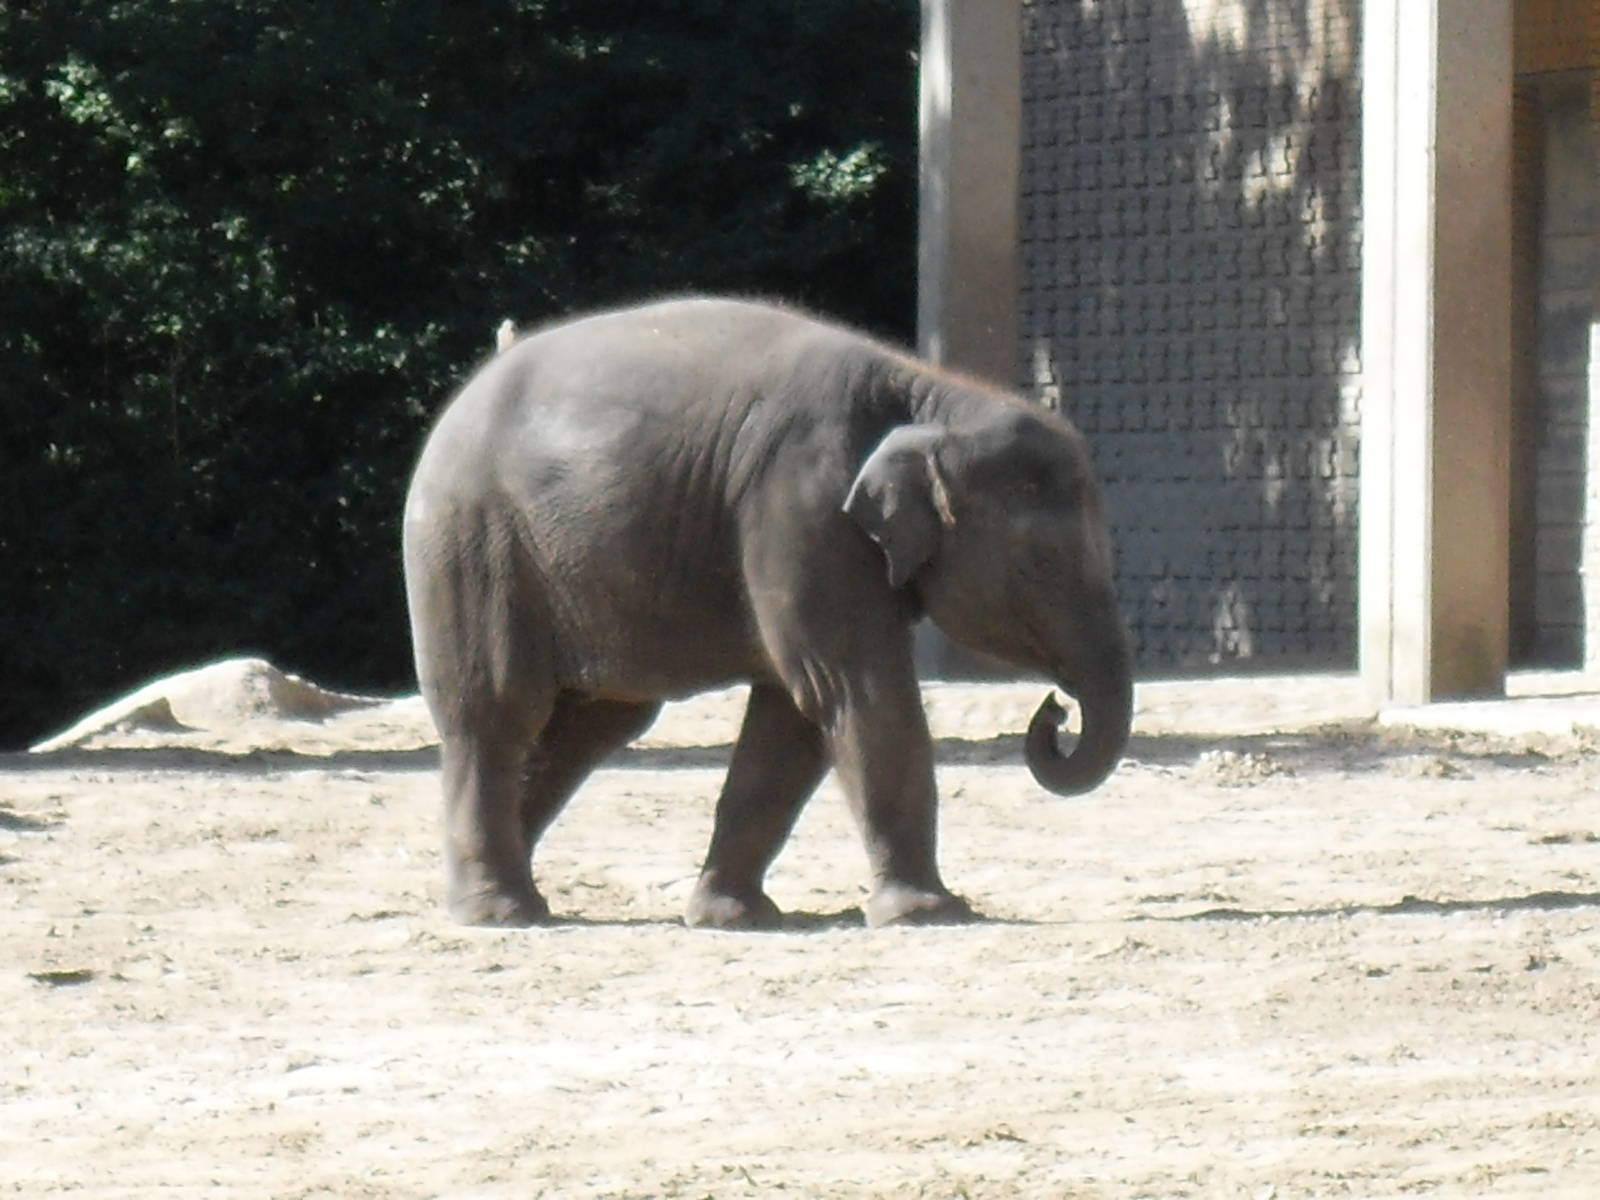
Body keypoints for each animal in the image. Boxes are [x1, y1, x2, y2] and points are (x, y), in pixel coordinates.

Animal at [402, 296, 1133, 929]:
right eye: (1043, 562)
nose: (1055, 712)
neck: (930, 393)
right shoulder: (801, 508)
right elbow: (856, 690)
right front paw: (929, 914)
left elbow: (794, 718)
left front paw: (732, 918)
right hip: (470, 546)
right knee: (497, 711)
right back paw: (500, 912)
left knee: (594, 722)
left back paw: (489, 895)